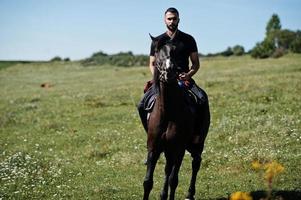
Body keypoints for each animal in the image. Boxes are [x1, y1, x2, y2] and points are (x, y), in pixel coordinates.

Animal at [142, 36, 209, 200]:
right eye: (157, 53)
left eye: (175, 52)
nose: (170, 72)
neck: (168, 113)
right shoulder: (154, 148)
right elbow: (148, 182)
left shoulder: (179, 148)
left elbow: (174, 180)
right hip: (169, 149)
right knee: (168, 168)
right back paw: (163, 195)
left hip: (197, 143)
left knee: (196, 163)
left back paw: (190, 194)